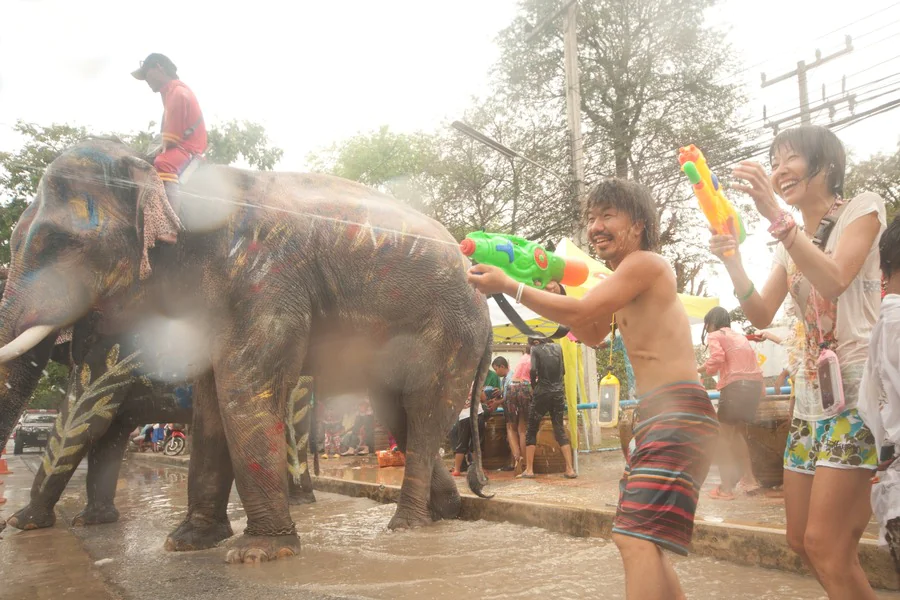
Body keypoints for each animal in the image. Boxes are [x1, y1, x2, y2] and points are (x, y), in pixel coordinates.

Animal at [0, 138, 492, 564]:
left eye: (61, 242)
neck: (159, 173)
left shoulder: (263, 275)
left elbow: (241, 388)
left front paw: (257, 554)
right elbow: (211, 402)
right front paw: (187, 543)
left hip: (451, 333)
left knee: (424, 412)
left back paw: (407, 527)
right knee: (399, 414)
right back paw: (444, 514)